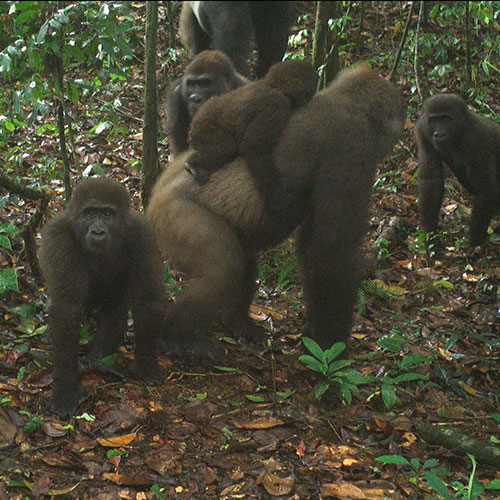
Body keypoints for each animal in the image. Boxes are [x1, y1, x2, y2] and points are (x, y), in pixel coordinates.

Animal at [39, 178, 167, 416]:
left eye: (108, 214)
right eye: (90, 213)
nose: (98, 231)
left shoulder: (141, 233)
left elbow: (148, 299)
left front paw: (145, 364)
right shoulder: (59, 236)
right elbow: (66, 308)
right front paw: (66, 385)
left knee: (115, 308)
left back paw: (99, 360)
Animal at [186, 59, 318, 214]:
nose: (309, 97)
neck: (272, 85)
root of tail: (194, 123)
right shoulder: (275, 106)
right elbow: (255, 151)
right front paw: (277, 199)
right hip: (205, 127)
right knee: (224, 148)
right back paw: (194, 164)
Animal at [414, 93, 500, 246]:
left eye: (445, 119)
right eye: (434, 120)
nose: (439, 133)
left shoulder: (479, 138)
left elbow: (486, 190)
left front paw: (474, 240)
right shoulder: (423, 130)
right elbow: (431, 181)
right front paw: (429, 233)